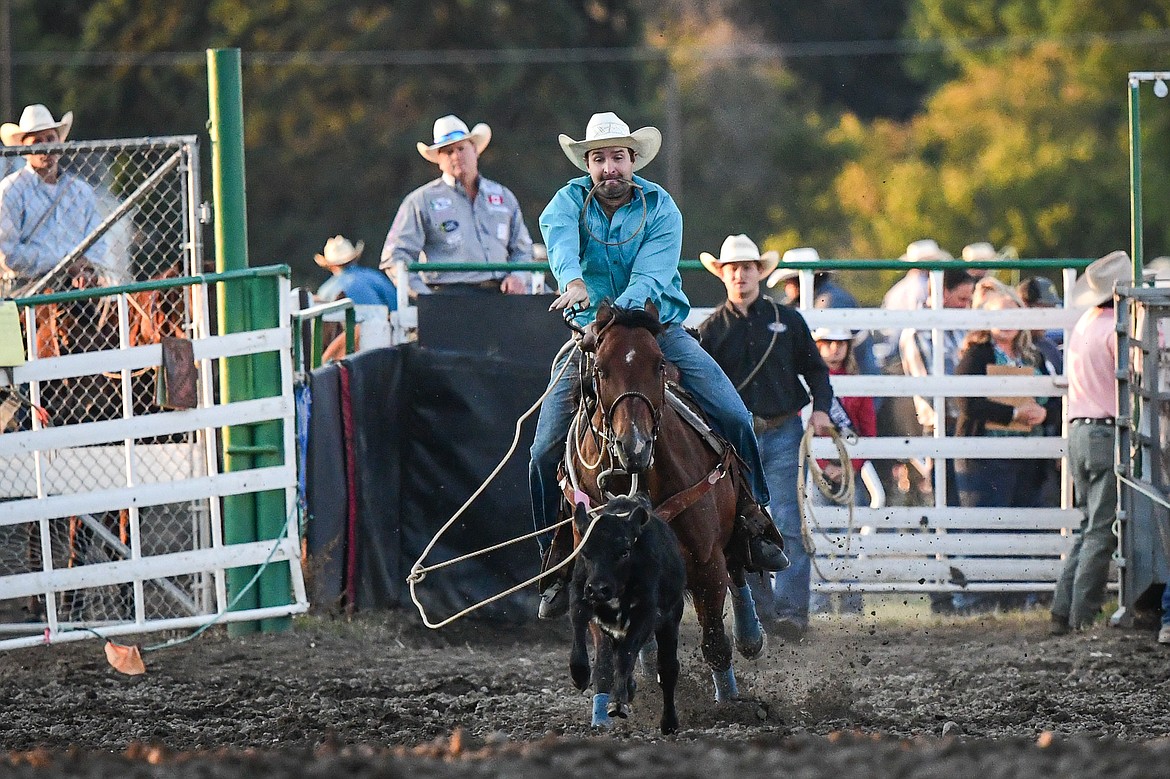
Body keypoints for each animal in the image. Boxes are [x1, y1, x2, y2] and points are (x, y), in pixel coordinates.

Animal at [566, 493, 683, 729]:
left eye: (624, 551)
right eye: (585, 552)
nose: (598, 589)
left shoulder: (646, 614)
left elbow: (625, 656)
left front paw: (617, 703)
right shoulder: (580, 594)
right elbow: (578, 624)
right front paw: (579, 673)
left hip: (671, 618)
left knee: (667, 669)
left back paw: (669, 722)